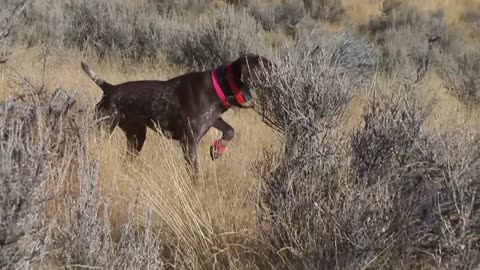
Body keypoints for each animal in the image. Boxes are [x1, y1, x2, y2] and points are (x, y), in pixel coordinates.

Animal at [80, 54, 272, 174]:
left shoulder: (211, 119)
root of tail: (110, 88)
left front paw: (218, 149)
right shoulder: (189, 142)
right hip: (103, 128)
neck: (221, 84)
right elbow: (196, 174)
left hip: (136, 137)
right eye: (268, 67)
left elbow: (230, 130)